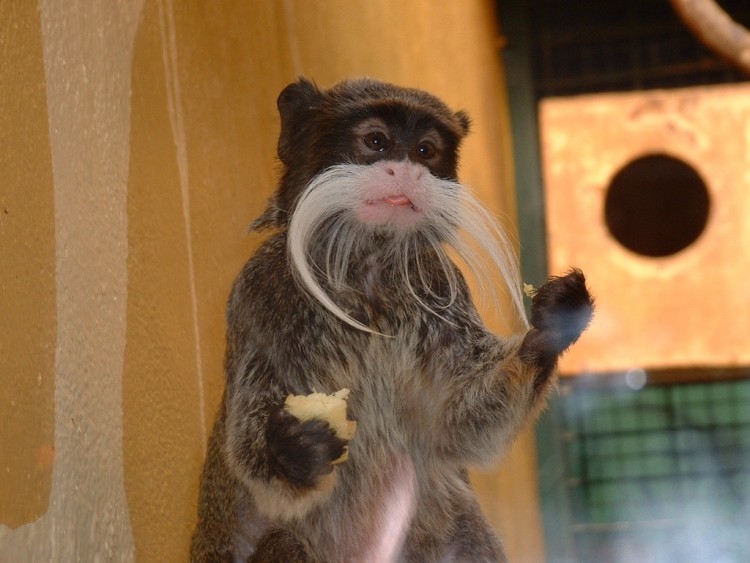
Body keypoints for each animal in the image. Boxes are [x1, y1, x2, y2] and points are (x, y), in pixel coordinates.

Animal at [191, 77, 596, 560]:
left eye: (425, 150)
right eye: (376, 142)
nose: (406, 170)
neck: (366, 270)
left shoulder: (441, 286)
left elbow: (459, 425)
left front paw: (551, 328)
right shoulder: (260, 295)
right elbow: (253, 461)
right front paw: (292, 452)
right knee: (283, 542)